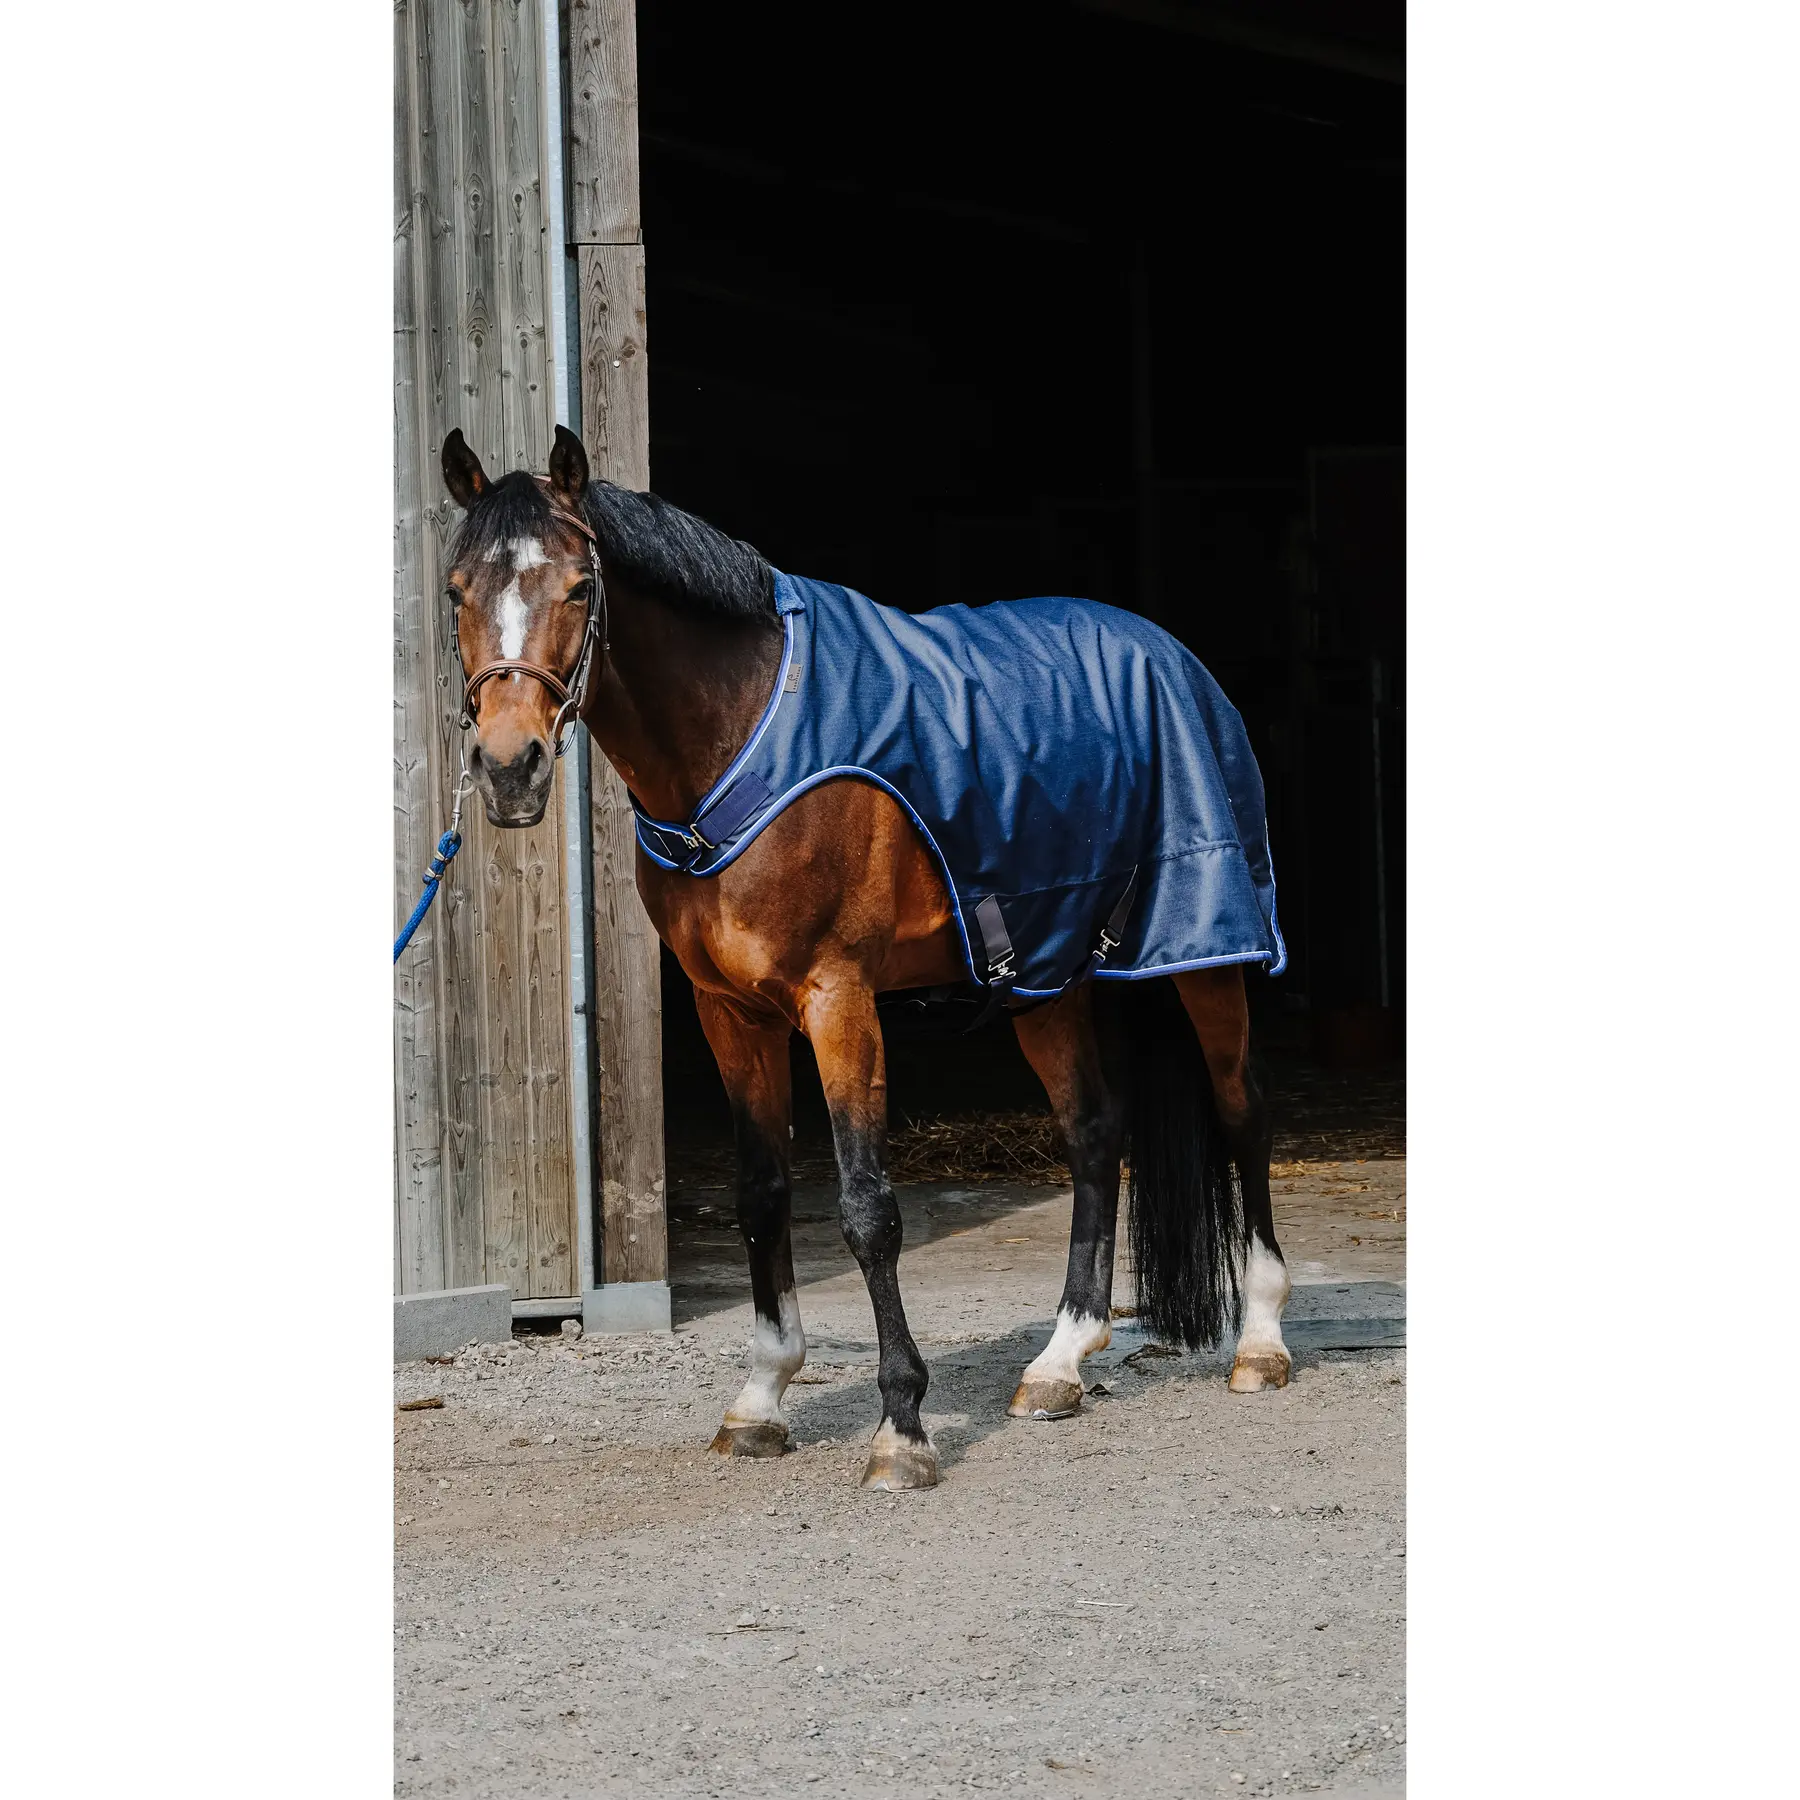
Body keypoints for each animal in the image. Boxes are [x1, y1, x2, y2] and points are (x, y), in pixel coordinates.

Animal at [438, 424, 1292, 1491]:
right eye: (456, 591)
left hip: (1206, 951)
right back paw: (1059, 1363)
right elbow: (761, 1196)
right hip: (1046, 976)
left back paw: (1260, 1343)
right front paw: (762, 1398)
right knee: (1096, 1133)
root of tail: (1172, 653)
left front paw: (902, 1428)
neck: (740, 732)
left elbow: (866, 1208)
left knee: (1242, 1111)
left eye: (580, 588)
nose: (508, 769)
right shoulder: (730, 1011)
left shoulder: (837, 998)